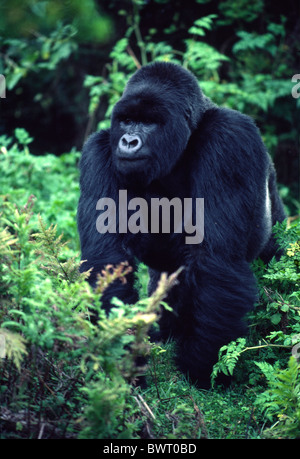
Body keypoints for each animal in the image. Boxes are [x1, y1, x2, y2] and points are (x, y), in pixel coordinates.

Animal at [78, 61, 286, 390]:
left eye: (149, 123)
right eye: (127, 120)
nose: (128, 141)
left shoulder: (229, 137)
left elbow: (215, 260)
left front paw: (199, 365)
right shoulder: (98, 150)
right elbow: (106, 258)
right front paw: (123, 356)